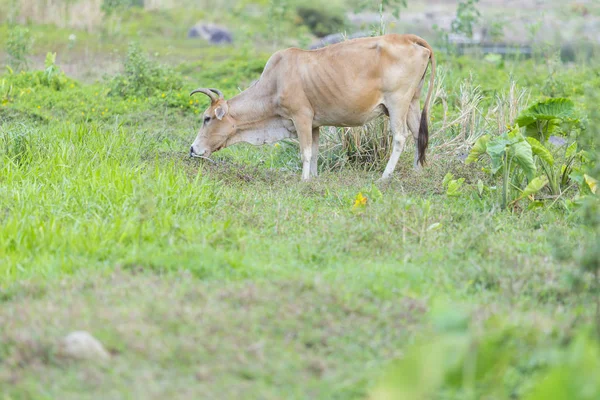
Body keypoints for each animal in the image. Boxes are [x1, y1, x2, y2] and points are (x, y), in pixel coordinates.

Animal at [189, 34, 436, 181]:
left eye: (207, 118)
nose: (192, 149)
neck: (275, 81)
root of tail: (409, 38)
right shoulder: (315, 124)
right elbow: (315, 152)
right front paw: (314, 179)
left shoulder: (302, 117)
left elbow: (305, 152)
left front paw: (304, 180)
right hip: (412, 102)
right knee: (418, 135)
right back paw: (417, 172)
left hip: (397, 103)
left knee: (401, 137)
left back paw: (385, 177)